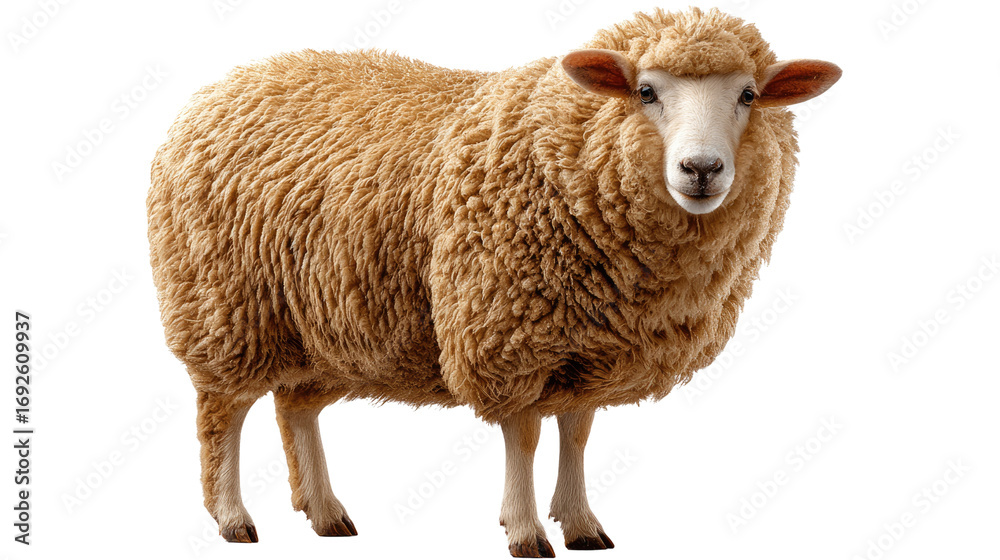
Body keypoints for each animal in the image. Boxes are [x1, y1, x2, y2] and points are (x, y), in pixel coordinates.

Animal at [147, 7, 840, 557]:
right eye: (645, 91)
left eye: (748, 96)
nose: (701, 169)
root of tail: (216, 90)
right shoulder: (508, 333)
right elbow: (526, 436)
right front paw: (526, 531)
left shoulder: (589, 344)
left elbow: (577, 431)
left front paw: (582, 524)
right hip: (222, 305)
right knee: (223, 412)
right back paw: (233, 518)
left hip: (316, 324)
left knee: (294, 407)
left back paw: (326, 514)